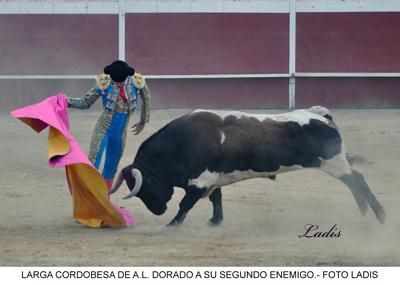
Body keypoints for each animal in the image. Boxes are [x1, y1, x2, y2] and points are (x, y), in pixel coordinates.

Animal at [108, 106, 384, 226]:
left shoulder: (200, 181)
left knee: (357, 180)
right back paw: (365, 213)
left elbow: (186, 203)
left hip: (334, 162)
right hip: (335, 163)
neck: (180, 143)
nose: (158, 211)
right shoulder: (213, 179)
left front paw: (173, 224)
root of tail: (321, 116)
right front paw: (215, 221)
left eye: (145, 187)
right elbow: (216, 199)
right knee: (354, 182)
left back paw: (380, 216)